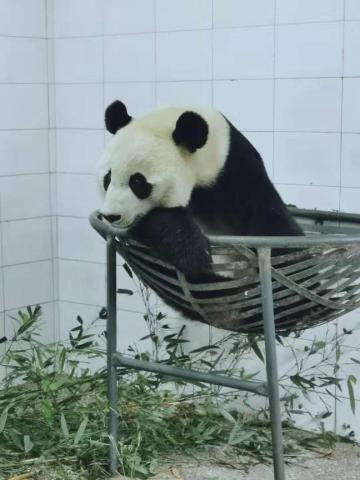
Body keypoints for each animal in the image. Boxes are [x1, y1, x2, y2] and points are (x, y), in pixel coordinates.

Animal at [97, 101, 302, 326]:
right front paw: (193, 253)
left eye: (138, 182)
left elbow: (274, 225)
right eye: (107, 178)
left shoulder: (236, 169)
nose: (111, 216)